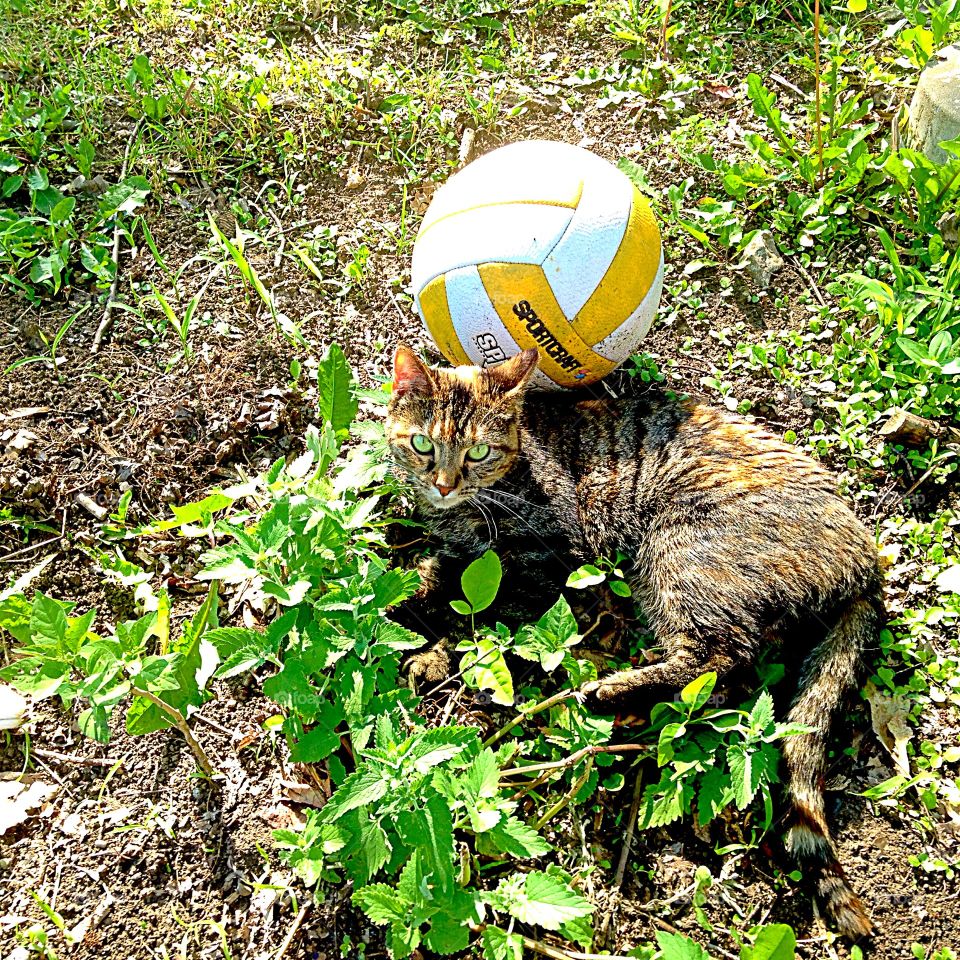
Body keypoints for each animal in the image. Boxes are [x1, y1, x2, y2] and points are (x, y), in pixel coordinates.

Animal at [386, 344, 880, 936]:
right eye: (423, 444)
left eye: (478, 450)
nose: (444, 483)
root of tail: (867, 559)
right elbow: (434, 574)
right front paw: (398, 588)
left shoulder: (542, 563)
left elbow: (476, 618)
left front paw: (433, 652)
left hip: (681, 549)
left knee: (720, 658)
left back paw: (610, 690)